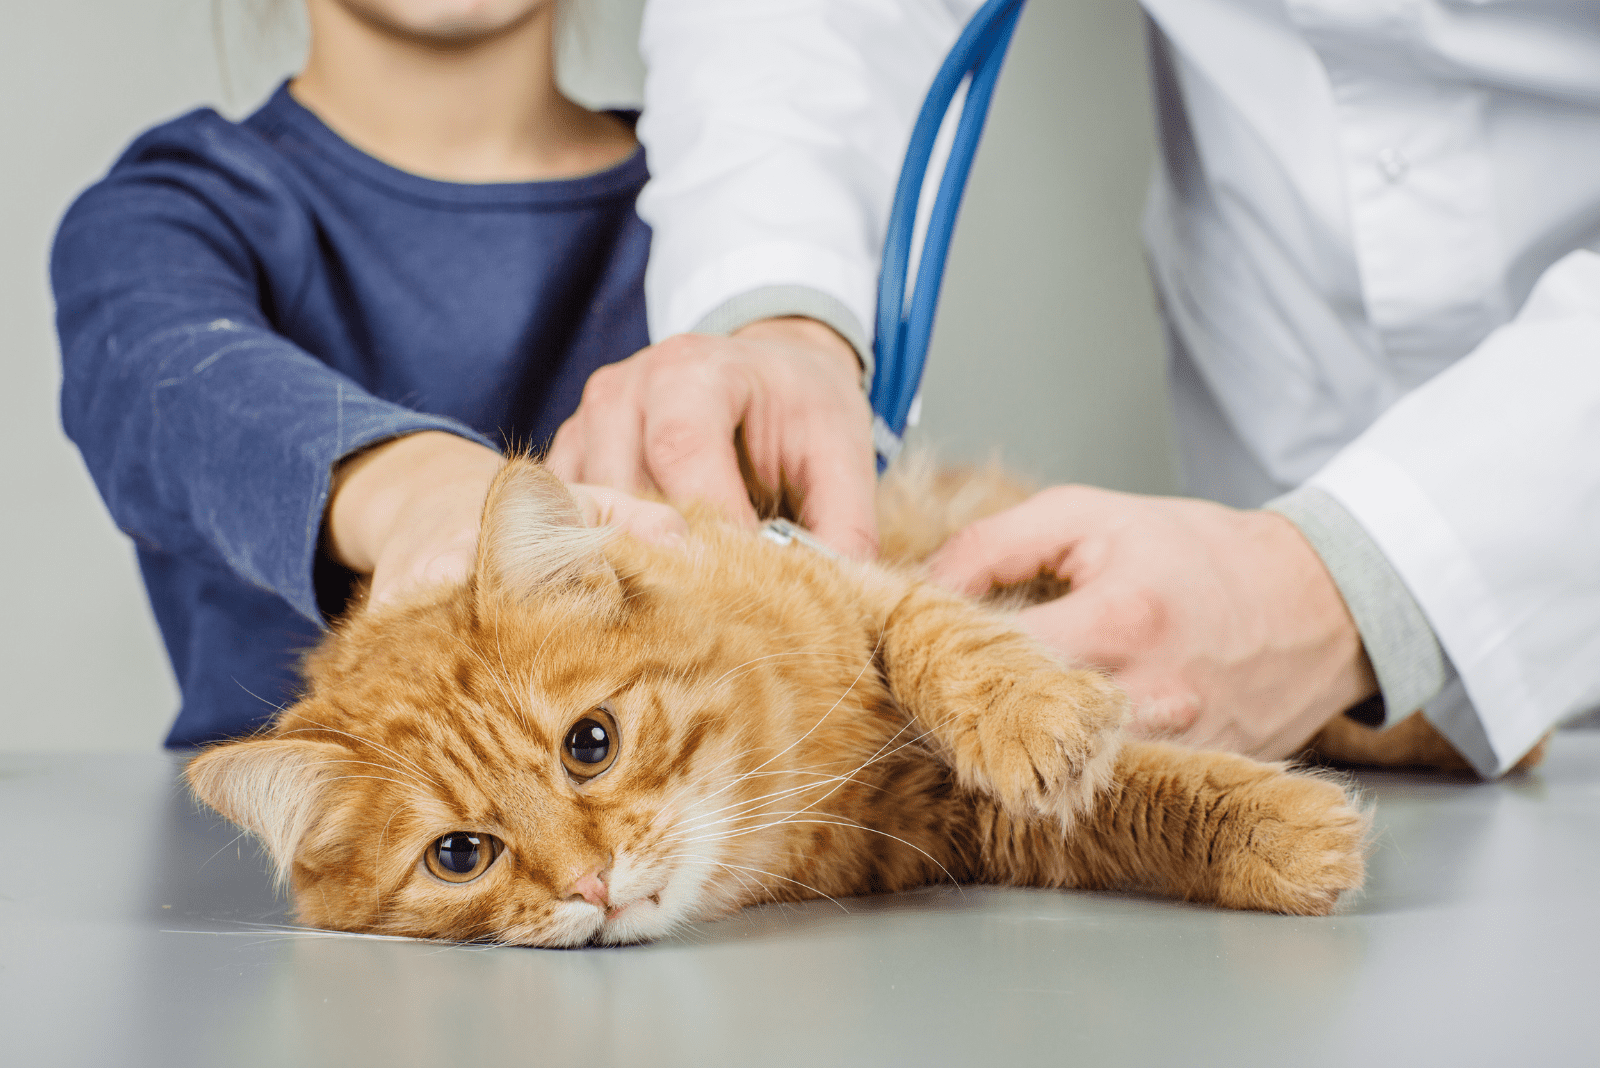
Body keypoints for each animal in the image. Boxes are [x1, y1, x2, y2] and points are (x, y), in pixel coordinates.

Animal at [193, 454, 1382, 946]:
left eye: (590, 745)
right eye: (459, 856)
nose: (592, 884)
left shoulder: (848, 583)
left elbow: (949, 639)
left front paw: (1040, 719)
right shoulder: (952, 825)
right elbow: (1118, 809)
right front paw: (1285, 834)